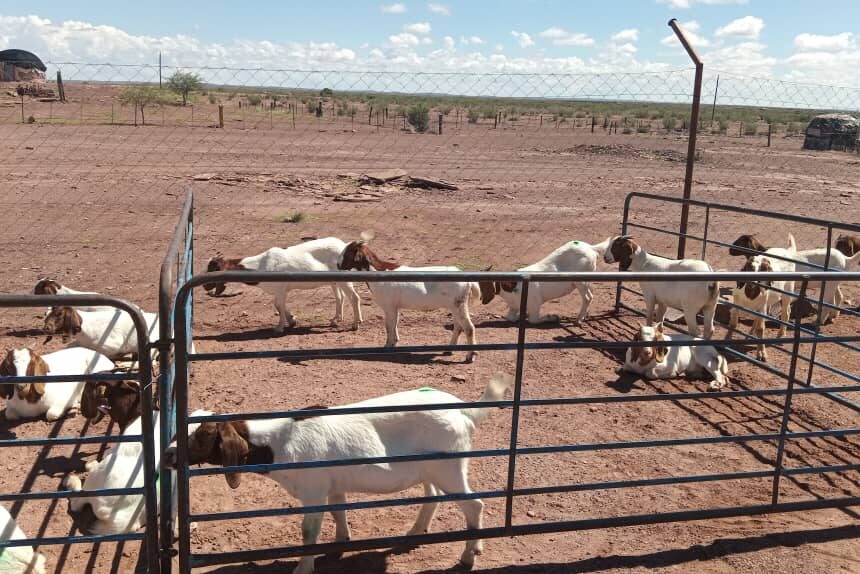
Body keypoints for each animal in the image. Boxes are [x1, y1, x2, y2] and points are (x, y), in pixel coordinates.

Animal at [164, 373, 514, 574]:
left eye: (203, 435)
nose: (167, 455)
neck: (279, 441)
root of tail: (465, 412)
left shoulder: (313, 489)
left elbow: (309, 531)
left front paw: (303, 568)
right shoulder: (331, 484)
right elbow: (339, 511)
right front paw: (340, 542)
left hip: (451, 465)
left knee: (474, 505)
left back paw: (469, 555)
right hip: (433, 469)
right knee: (433, 497)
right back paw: (416, 533)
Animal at [203, 237, 362, 333]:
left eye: (213, 268)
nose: (205, 286)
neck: (261, 265)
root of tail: (344, 246)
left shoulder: (280, 288)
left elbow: (278, 305)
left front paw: (279, 327)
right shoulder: (281, 290)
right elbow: (279, 305)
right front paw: (292, 320)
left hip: (343, 278)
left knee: (354, 297)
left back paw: (356, 323)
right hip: (335, 280)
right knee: (340, 297)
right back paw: (336, 320)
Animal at [337, 236, 481, 362]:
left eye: (348, 252)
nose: (338, 265)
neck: (378, 272)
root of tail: (468, 281)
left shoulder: (389, 305)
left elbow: (388, 325)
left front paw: (387, 346)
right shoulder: (394, 306)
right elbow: (394, 323)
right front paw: (394, 343)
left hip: (459, 304)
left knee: (469, 328)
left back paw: (470, 356)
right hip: (455, 305)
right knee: (458, 327)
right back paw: (449, 350)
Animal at [479, 238, 612, 324]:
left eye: (482, 284)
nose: (482, 300)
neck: (511, 286)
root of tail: (591, 248)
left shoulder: (534, 303)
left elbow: (534, 320)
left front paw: (552, 317)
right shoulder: (514, 305)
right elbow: (510, 317)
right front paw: (520, 316)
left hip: (581, 281)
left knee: (588, 297)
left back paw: (579, 319)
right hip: (588, 279)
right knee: (591, 294)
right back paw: (584, 316)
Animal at [730, 234, 796, 362]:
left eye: (764, 269)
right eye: (749, 267)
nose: (753, 281)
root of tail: (788, 251)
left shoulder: (762, 307)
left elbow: (761, 329)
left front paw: (761, 353)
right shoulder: (737, 304)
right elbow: (733, 324)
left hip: (788, 291)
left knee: (786, 312)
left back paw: (780, 335)